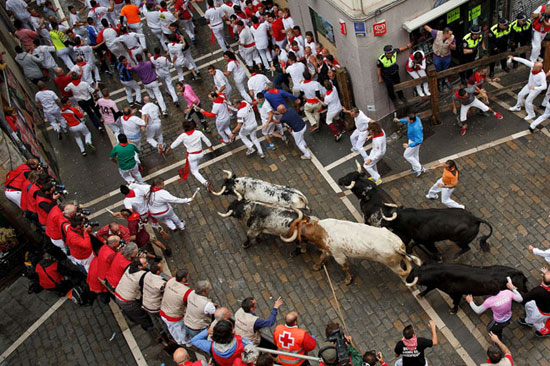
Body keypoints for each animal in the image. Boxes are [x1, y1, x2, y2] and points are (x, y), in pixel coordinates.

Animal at [282, 217, 424, 286]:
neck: (321, 231)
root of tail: (395, 245)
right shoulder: (329, 250)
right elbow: (322, 257)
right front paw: (317, 266)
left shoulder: (339, 256)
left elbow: (345, 268)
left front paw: (347, 280)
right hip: (400, 257)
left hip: (393, 265)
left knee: (404, 272)